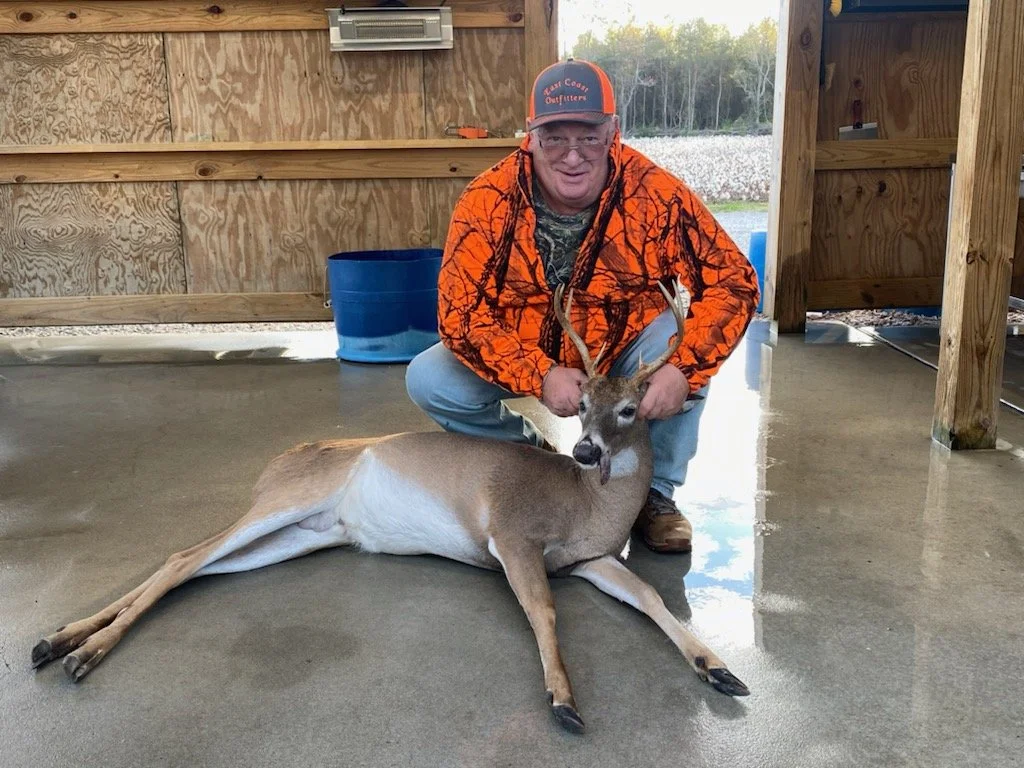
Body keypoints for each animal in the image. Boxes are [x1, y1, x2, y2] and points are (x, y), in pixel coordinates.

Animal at [30, 278, 749, 734]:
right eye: (581, 406)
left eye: (629, 410)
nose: (585, 451)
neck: (584, 507)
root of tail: (278, 462)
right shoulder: (511, 535)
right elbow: (545, 612)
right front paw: (564, 701)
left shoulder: (590, 559)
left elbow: (652, 597)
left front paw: (719, 669)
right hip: (289, 499)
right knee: (184, 555)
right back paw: (80, 654)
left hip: (306, 533)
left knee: (192, 566)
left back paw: (56, 639)